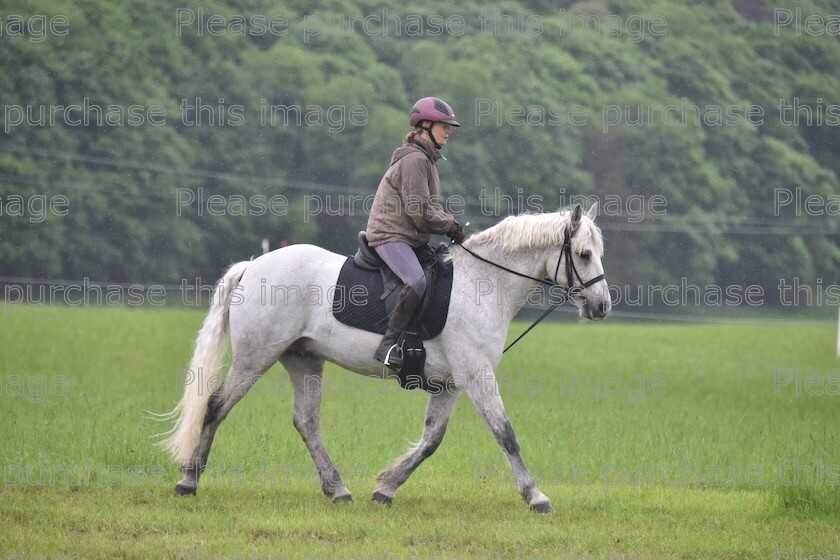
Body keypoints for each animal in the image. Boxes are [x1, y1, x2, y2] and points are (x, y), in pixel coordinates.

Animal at [159, 202, 612, 512]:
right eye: (584, 255)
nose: (602, 307)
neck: (484, 284)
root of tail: (253, 267)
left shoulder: (452, 384)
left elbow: (431, 440)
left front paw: (386, 487)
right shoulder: (477, 375)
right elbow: (506, 435)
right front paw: (536, 497)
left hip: (303, 359)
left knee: (306, 421)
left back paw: (338, 490)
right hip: (257, 356)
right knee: (216, 406)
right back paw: (189, 481)